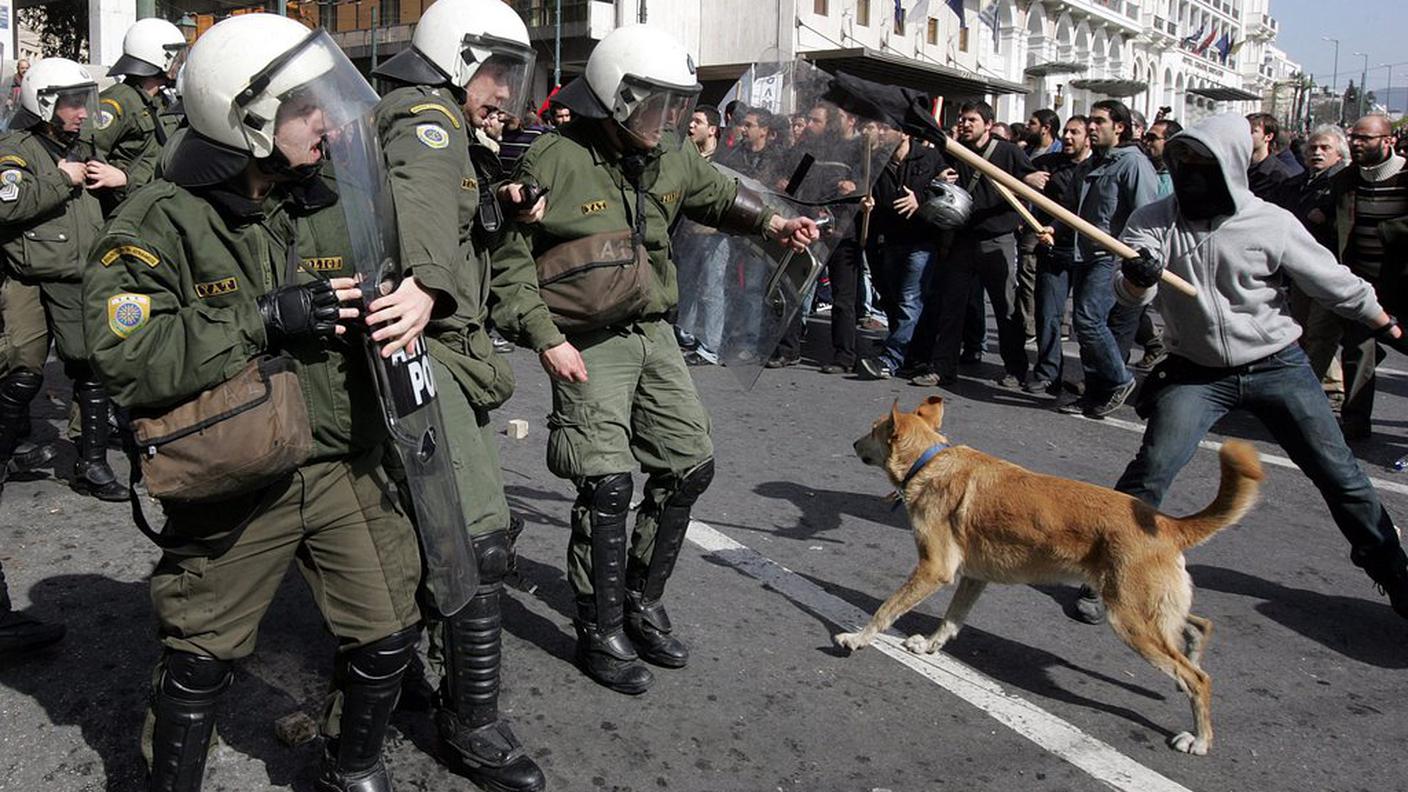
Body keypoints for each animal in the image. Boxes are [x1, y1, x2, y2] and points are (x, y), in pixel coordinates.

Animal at [833, 394, 1267, 749]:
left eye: (872, 429)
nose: (852, 444)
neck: (932, 461)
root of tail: (1166, 523)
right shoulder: (974, 577)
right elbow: (951, 620)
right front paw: (929, 646)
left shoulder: (933, 569)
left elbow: (886, 610)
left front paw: (858, 638)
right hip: (1146, 608)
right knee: (1198, 626)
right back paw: (1193, 656)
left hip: (1131, 619)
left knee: (1199, 678)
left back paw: (1200, 737)